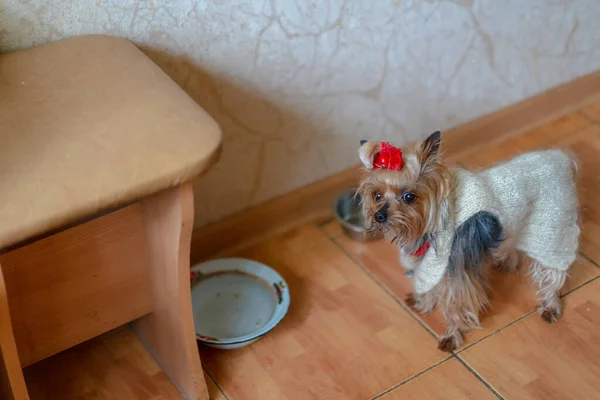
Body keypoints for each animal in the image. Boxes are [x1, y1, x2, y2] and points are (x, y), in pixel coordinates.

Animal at [358, 131, 580, 350]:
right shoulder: (429, 264)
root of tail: (561, 158)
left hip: (553, 225)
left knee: (555, 268)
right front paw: (424, 302)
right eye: (377, 195)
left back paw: (551, 305)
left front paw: (452, 335)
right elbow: (428, 283)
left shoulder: (455, 270)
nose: (379, 216)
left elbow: (455, 303)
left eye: (409, 196)